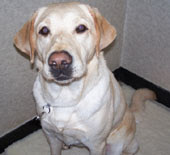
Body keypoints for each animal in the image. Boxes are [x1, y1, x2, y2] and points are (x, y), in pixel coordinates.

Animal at [13, 1, 156, 154]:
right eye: (44, 31)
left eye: (81, 28)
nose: (59, 62)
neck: (65, 98)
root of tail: (131, 114)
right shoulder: (51, 137)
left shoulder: (96, 145)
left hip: (117, 144)